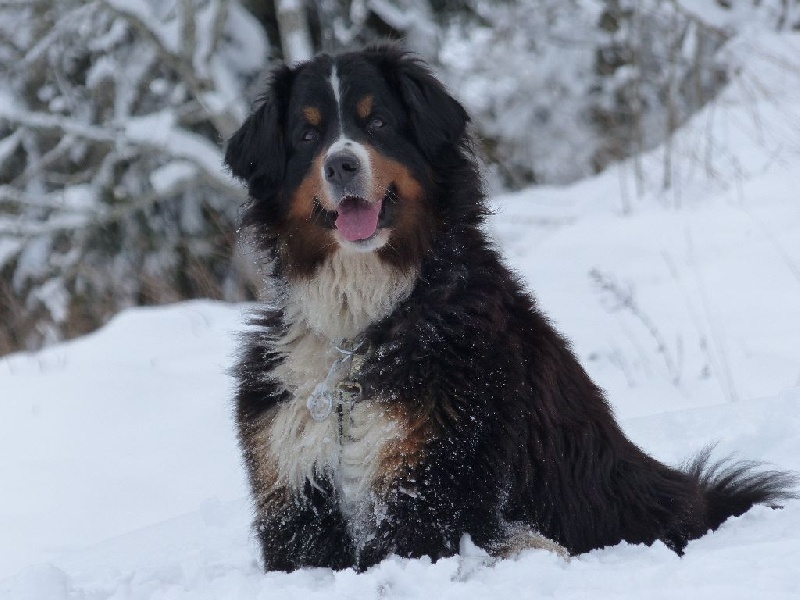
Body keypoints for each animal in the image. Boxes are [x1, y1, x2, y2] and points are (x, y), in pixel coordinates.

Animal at [222, 43, 796, 572]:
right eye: (307, 135)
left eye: (378, 121)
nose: (341, 164)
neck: (357, 325)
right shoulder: (295, 488)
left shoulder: (431, 485)